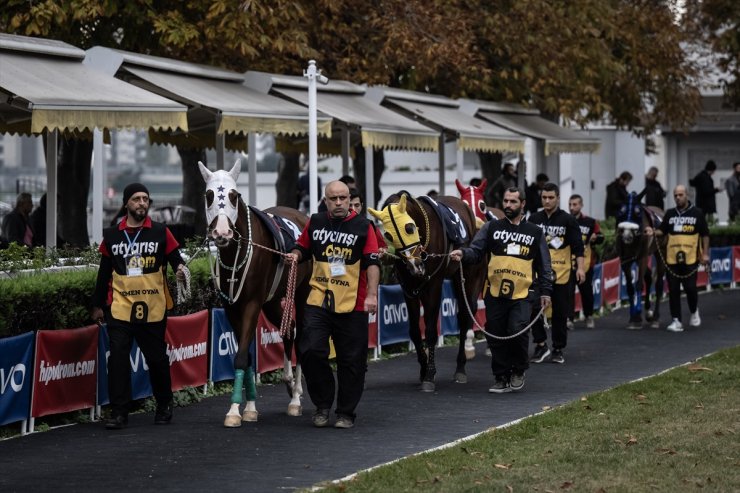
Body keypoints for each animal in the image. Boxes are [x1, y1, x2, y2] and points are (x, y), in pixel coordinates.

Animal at [198, 160, 310, 424]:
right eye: (209, 195)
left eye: (233, 195)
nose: (222, 232)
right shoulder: (231, 306)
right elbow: (245, 355)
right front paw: (248, 407)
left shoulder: (252, 303)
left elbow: (241, 356)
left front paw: (234, 411)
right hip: (273, 300)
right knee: (288, 330)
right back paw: (288, 381)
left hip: (300, 292)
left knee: (299, 336)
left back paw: (295, 397)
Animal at [368, 190, 486, 390]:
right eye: (388, 235)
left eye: (409, 228)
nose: (415, 265)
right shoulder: (409, 287)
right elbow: (415, 331)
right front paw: (423, 369)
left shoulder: (434, 284)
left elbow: (430, 330)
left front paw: (430, 374)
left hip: (471, 274)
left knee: (465, 315)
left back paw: (461, 367)